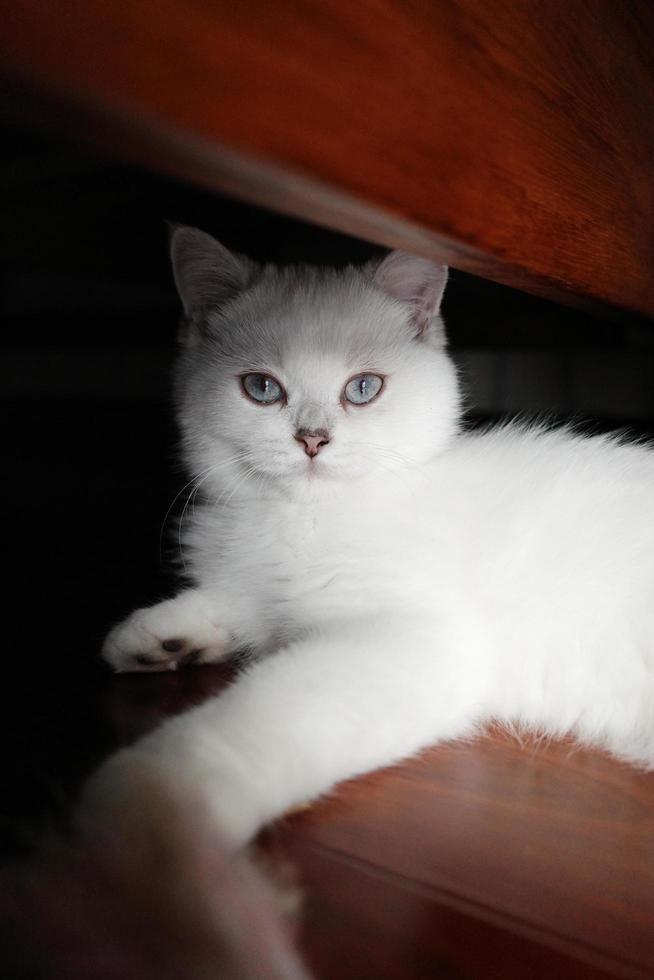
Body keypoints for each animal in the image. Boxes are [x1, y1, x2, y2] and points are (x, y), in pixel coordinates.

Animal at [92, 228, 654, 848]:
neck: (297, 518)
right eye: (261, 388)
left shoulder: (414, 639)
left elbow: (270, 708)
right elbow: (241, 600)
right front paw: (159, 635)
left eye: (363, 389)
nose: (312, 438)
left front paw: (162, 794)